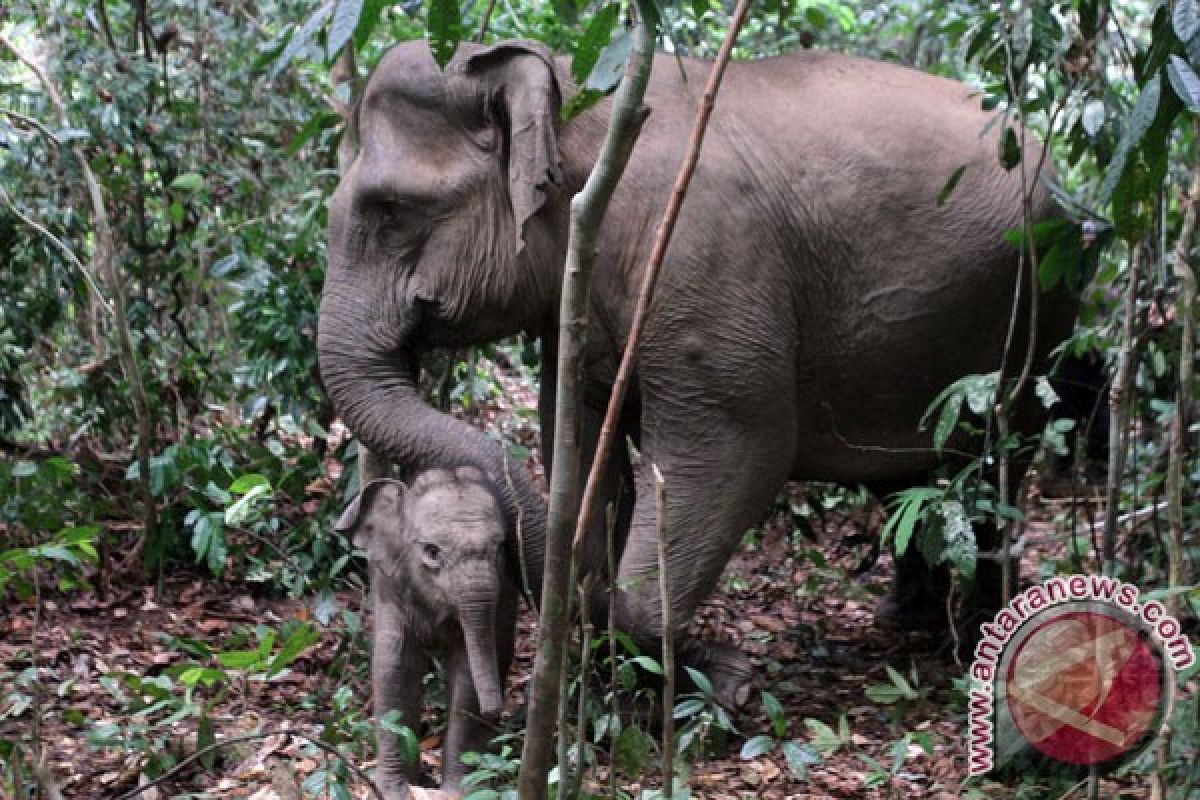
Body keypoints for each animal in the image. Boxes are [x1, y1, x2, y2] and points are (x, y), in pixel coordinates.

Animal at [321, 40, 1080, 705]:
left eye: (391, 212)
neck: (576, 101)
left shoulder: (704, 258)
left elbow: (738, 447)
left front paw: (723, 683)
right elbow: (584, 447)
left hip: (1042, 301)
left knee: (1001, 452)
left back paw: (981, 636)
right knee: (916, 472)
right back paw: (906, 619)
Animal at [336, 465, 518, 796]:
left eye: (499, 548)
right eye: (432, 551)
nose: (493, 710)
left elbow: (468, 671)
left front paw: (459, 793)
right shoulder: (390, 584)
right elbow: (394, 665)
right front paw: (395, 791)